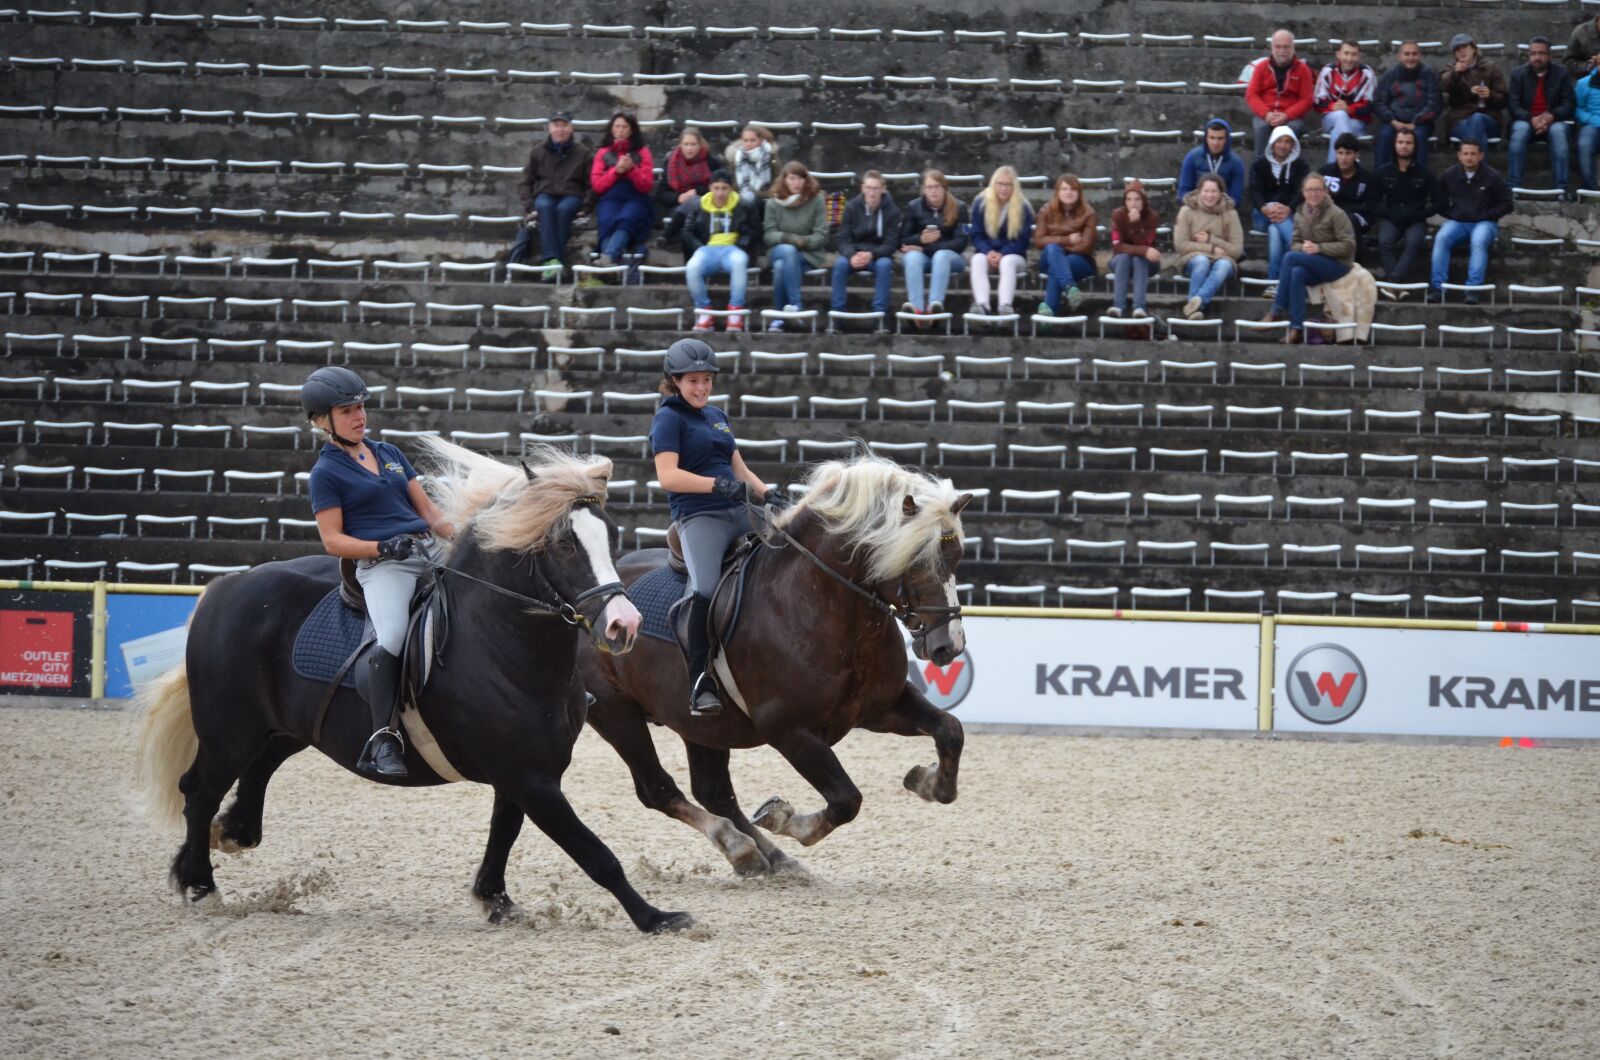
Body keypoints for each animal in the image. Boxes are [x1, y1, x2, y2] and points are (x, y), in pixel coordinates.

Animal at [134, 439, 696, 933]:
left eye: (611, 536)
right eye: (562, 543)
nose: (624, 626)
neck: (501, 648)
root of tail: (223, 587)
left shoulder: (524, 772)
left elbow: (504, 832)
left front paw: (495, 901)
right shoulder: (530, 778)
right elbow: (596, 855)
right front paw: (658, 918)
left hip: (286, 730)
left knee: (254, 775)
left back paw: (224, 839)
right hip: (230, 732)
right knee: (198, 791)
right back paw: (201, 886)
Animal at [578, 455, 973, 877]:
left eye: (956, 559)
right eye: (915, 560)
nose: (948, 645)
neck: (826, 606)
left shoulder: (879, 706)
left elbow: (950, 730)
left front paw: (927, 782)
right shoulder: (788, 729)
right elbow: (846, 800)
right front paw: (785, 819)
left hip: (700, 724)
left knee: (714, 791)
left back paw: (767, 856)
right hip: (616, 713)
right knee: (658, 789)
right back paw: (739, 846)